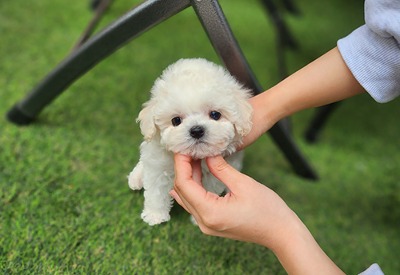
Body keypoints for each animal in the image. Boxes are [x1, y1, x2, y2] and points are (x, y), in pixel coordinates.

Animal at [128, 58, 253, 226]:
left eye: (215, 114)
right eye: (176, 120)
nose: (197, 130)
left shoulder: (218, 173)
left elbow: (209, 190)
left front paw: (197, 218)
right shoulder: (158, 164)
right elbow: (156, 191)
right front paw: (155, 215)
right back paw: (135, 178)